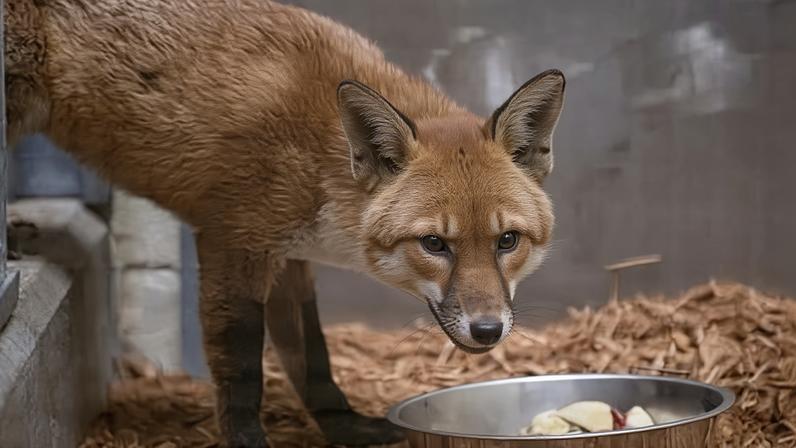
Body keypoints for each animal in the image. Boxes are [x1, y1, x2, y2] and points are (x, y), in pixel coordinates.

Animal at [5, 0, 565, 446]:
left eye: (507, 241)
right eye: (434, 244)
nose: (488, 330)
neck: (320, 153)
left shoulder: (289, 255)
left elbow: (313, 359)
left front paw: (346, 428)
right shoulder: (233, 242)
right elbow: (241, 370)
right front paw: (248, 441)